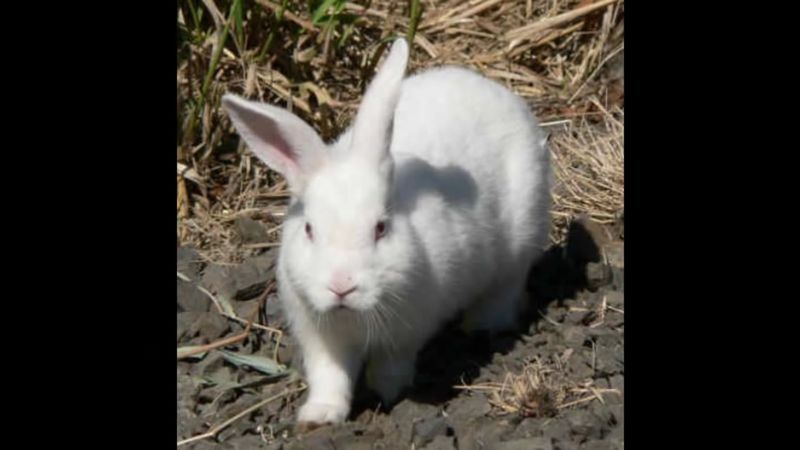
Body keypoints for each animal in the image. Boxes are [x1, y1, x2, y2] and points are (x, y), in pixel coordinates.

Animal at [221, 37, 552, 427]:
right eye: (309, 230)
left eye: (380, 228)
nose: (341, 286)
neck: (353, 316)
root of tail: (493, 88)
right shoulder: (320, 338)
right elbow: (329, 376)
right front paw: (319, 417)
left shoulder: (406, 334)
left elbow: (391, 366)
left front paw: (386, 396)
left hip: (522, 233)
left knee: (506, 287)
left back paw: (482, 325)